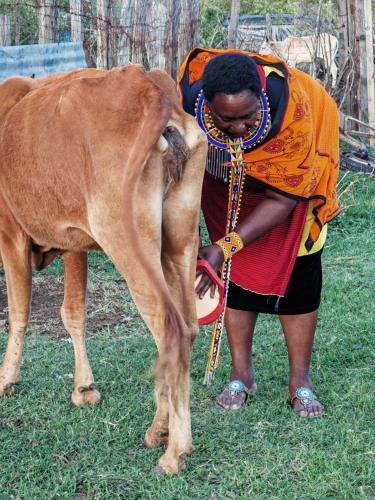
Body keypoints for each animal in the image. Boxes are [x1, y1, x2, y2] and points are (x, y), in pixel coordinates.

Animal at [0, 64, 209, 474]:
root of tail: (151, 87)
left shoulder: (10, 234)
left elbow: (18, 314)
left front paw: (5, 381)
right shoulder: (73, 242)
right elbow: (73, 313)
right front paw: (84, 388)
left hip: (126, 241)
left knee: (170, 329)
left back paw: (175, 450)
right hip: (178, 243)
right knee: (188, 328)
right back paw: (162, 430)